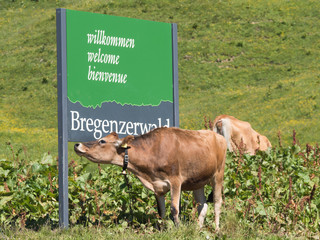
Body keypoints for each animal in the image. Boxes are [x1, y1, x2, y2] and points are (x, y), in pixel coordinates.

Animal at [74, 126, 228, 230]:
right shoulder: (157, 185)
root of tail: (217, 135)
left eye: (102, 141)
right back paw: (198, 229)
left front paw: (178, 228)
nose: (77, 144)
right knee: (203, 205)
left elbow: (174, 208)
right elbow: (161, 211)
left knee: (217, 202)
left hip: (218, 174)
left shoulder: (175, 181)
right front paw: (163, 230)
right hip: (197, 181)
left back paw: (217, 229)